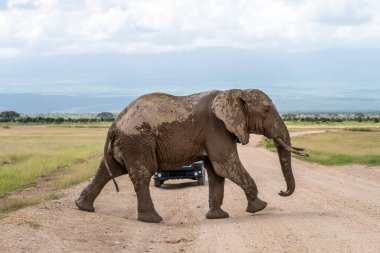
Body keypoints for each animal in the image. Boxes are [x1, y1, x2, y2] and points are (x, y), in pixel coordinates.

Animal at [75, 89, 308, 223]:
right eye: (267, 110)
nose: (281, 192)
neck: (235, 92)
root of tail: (114, 125)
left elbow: (216, 171)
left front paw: (217, 217)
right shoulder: (216, 129)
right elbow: (226, 165)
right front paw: (259, 207)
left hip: (127, 143)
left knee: (108, 170)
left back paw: (83, 207)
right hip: (138, 140)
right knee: (141, 174)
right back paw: (152, 220)